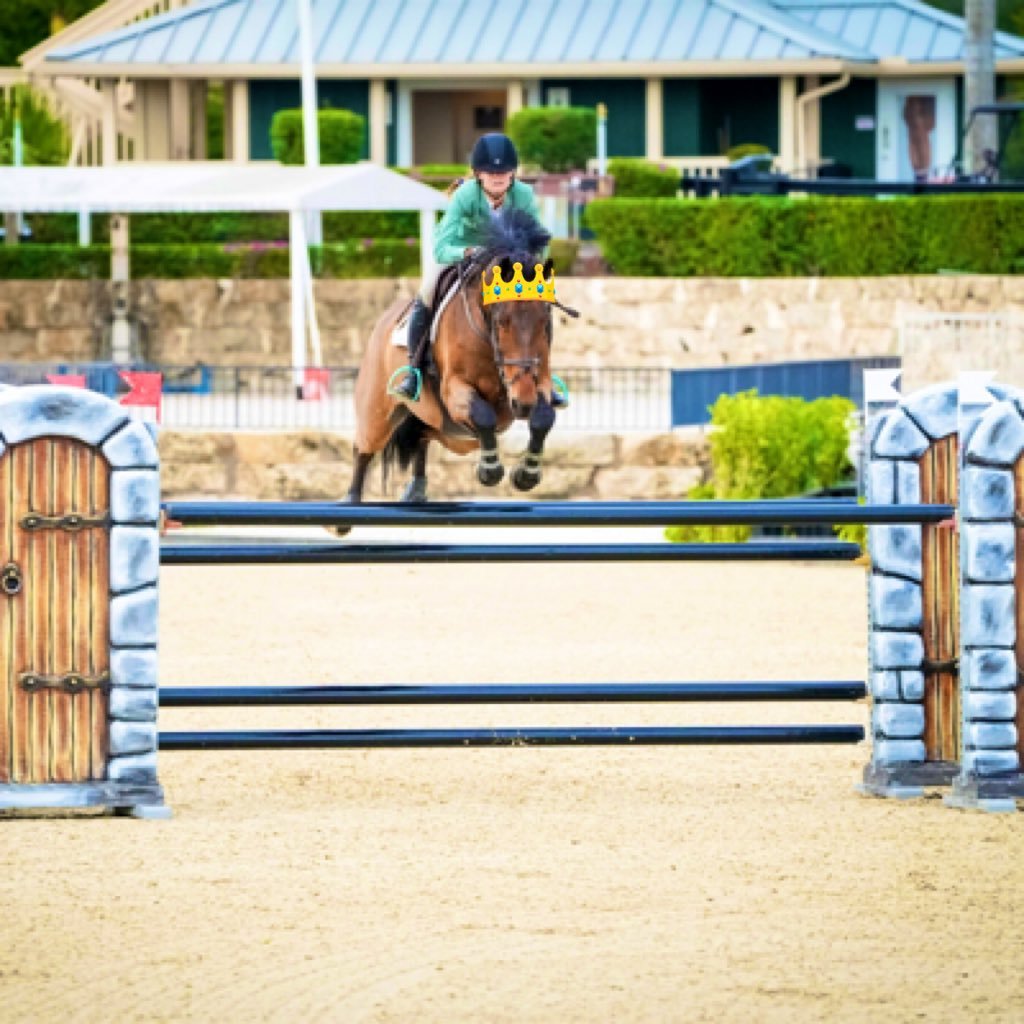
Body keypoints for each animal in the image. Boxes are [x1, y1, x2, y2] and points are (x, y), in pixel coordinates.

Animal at [348, 207, 565, 503]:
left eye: (545, 320)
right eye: (502, 322)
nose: (523, 403)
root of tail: (384, 320)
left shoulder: (537, 380)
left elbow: (544, 418)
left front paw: (527, 474)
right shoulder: (455, 388)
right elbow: (483, 414)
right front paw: (489, 470)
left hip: (445, 430)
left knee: (422, 436)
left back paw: (417, 490)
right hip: (378, 412)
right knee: (364, 448)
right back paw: (349, 503)